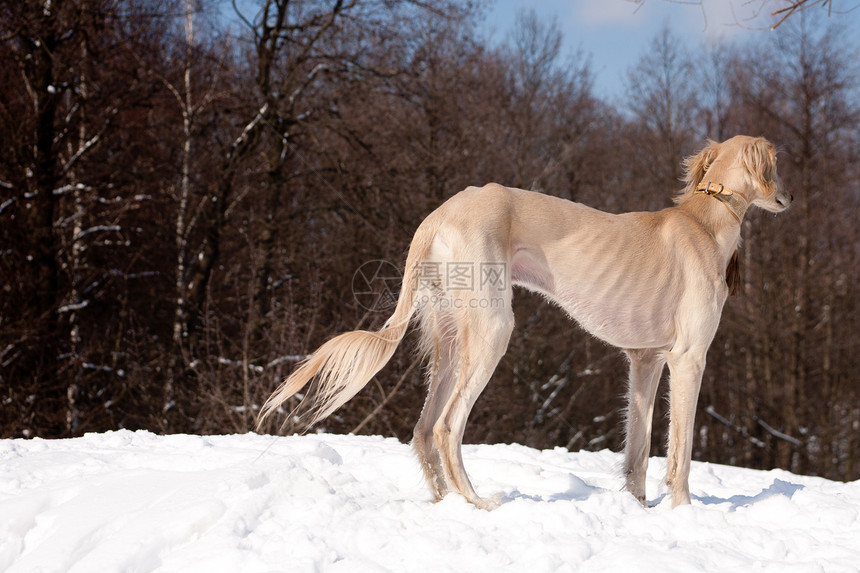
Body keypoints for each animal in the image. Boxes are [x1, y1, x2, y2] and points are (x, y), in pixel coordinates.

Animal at [256, 135, 792, 510]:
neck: (705, 220)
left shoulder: (644, 360)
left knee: (424, 429)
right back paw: (477, 501)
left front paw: (639, 510)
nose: (788, 200)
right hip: (493, 330)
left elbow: (637, 451)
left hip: (453, 336)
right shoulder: (688, 359)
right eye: (778, 165)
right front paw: (683, 513)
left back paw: (448, 503)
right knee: (448, 426)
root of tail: (437, 215)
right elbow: (680, 451)